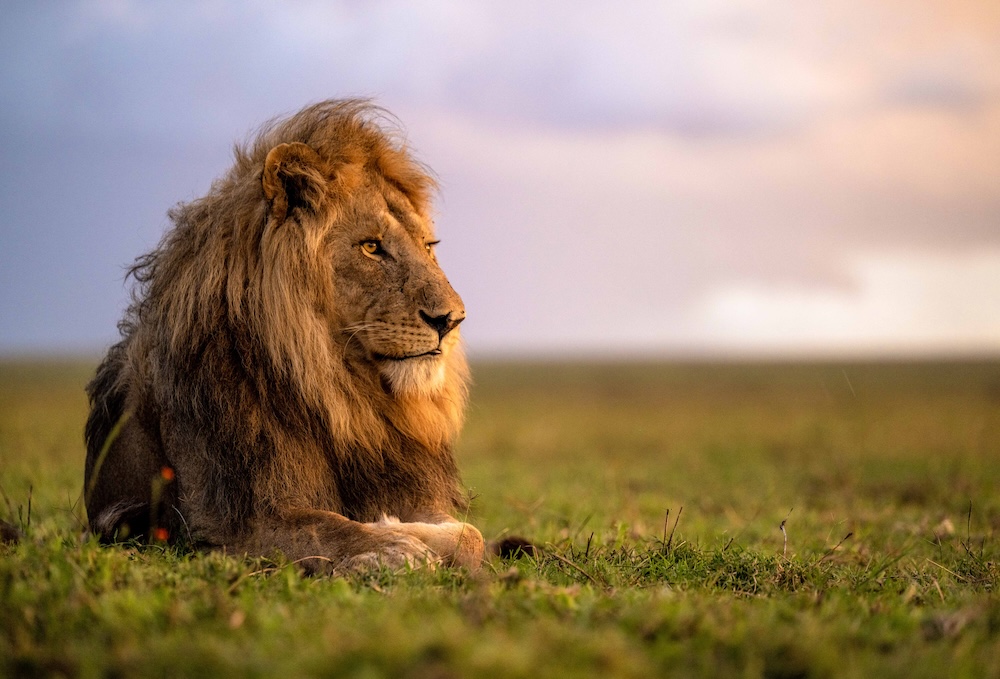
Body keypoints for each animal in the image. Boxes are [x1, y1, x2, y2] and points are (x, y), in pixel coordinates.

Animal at [83, 99, 484, 573]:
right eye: (371, 247)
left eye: (428, 247)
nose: (452, 320)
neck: (343, 395)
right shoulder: (233, 523)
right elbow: (327, 527)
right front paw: (391, 545)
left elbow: (471, 536)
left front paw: (399, 529)